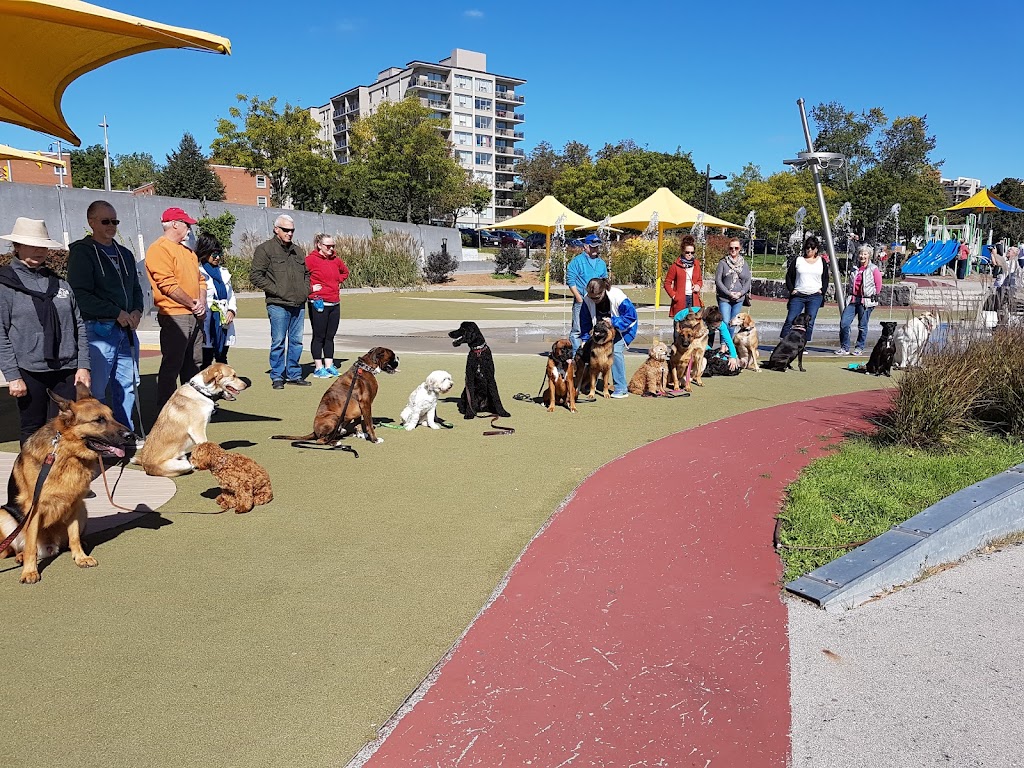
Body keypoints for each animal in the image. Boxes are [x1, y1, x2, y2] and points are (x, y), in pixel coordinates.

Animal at [0, 385, 134, 589]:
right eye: (99, 420)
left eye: (112, 416)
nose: (131, 436)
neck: (67, 454)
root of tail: (49, 547)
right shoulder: (34, 508)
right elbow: (30, 546)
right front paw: (30, 571)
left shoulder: (76, 504)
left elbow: (74, 536)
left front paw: (80, 557)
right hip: (4, 514)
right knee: (16, 549)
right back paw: (21, 557)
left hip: (84, 510)